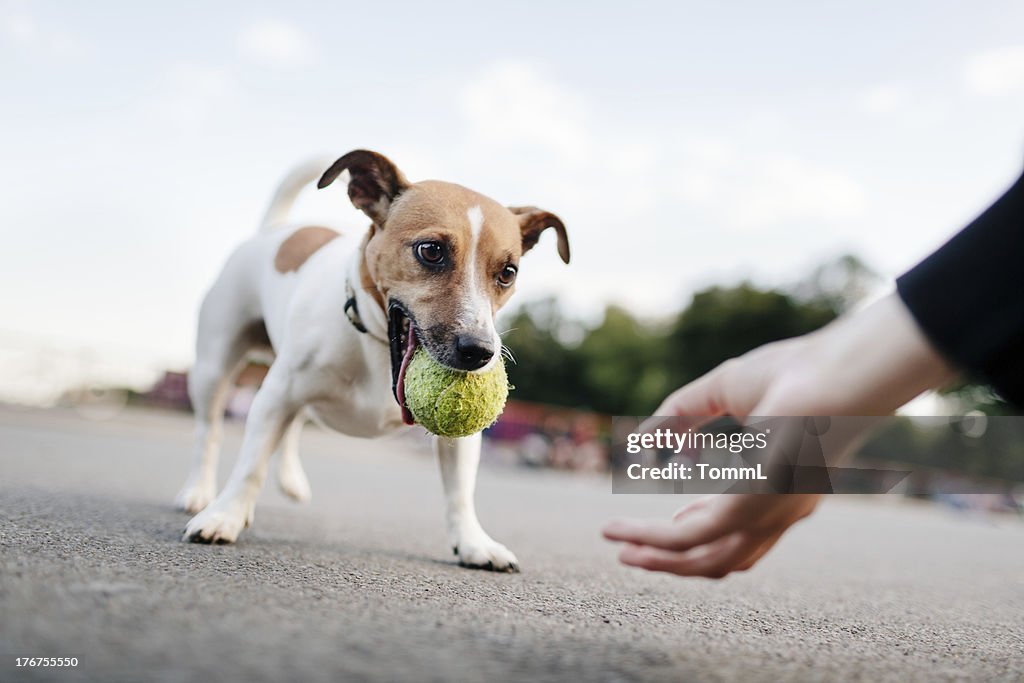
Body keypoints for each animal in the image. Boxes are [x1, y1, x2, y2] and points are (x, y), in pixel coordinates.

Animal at [177, 150, 573, 573]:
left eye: (508, 272)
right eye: (431, 251)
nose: (479, 351)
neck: (378, 347)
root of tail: (276, 229)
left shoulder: (461, 438)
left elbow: (460, 492)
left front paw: (473, 543)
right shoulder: (277, 395)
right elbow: (250, 464)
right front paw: (226, 515)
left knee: (292, 426)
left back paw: (290, 480)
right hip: (214, 367)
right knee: (209, 431)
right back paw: (199, 491)